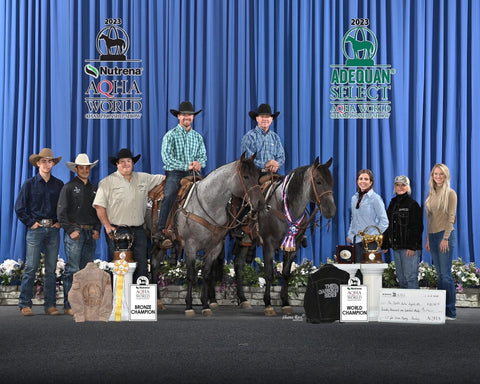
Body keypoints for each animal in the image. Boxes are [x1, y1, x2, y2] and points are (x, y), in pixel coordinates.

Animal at [150, 152, 264, 316]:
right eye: (246, 176)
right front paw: (189, 306)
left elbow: (206, 273)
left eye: (257, 176)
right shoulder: (191, 246)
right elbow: (191, 274)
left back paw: (158, 301)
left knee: (155, 262)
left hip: (162, 245)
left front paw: (205, 305)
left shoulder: (214, 248)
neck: (208, 205)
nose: (260, 203)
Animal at [232, 156, 334, 316]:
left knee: (238, 263)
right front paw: (268, 304)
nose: (331, 210)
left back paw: (243, 299)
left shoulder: (293, 245)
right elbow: (268, 274)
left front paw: (285, 303)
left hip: (246, 241)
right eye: (318, 181)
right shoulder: (268, 244)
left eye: (331, 181)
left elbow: (286, 273)